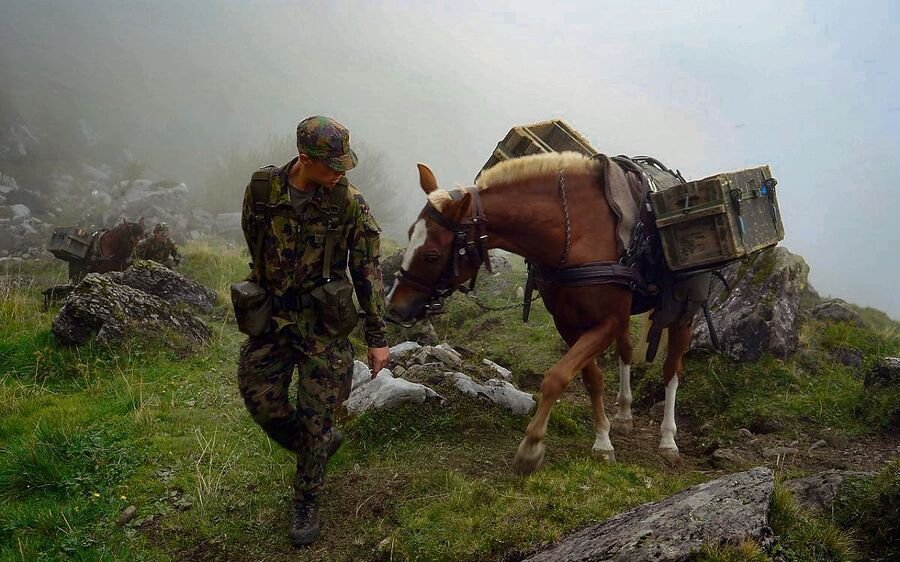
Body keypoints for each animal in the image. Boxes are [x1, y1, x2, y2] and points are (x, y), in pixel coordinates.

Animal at [384, 152, 692, 472]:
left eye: (432, 255)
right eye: (410, 234)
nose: (394, 307)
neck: (579, 232)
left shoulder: (608, 322)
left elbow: (557, 377)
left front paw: (532, 446)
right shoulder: (568, 323)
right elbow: (592, 379)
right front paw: (603, 439)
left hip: (683, 313)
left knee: (672, 369)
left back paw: (668, 440)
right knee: (627, 352)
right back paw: (624, 414)